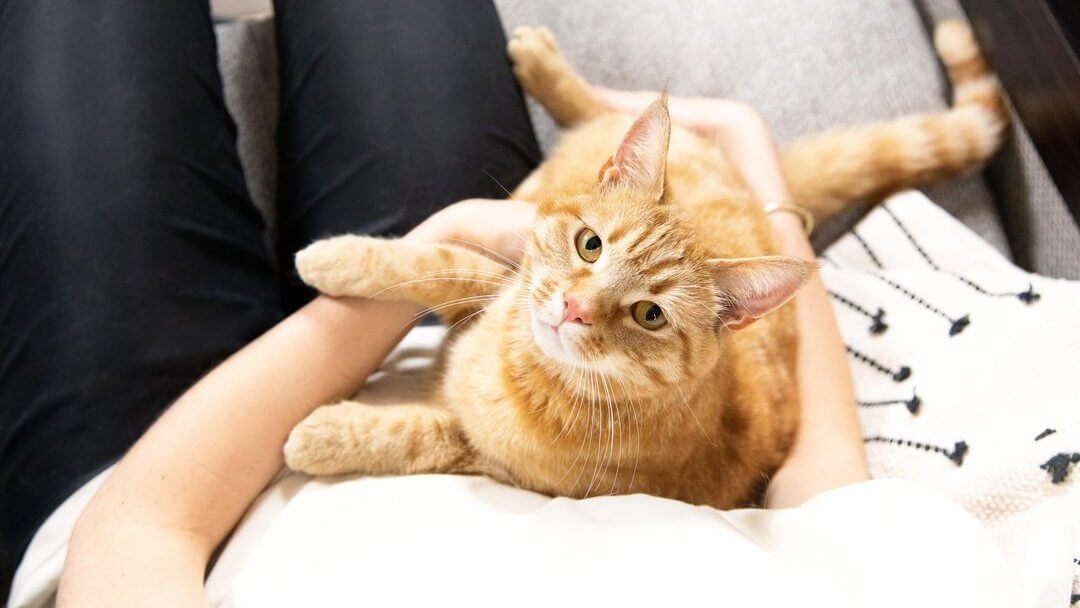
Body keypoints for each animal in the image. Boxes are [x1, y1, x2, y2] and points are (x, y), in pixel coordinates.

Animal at [285, 21, 1002, 507]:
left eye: (649, 315)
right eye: (590, 246)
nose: (572, 309)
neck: (517, 366)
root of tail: (748, 182)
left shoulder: (503, 468)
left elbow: (419, 435)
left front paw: (327, 435)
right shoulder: (502, 279)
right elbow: (437, 260)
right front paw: (339, 256)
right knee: (614, 111)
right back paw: (550, 69)